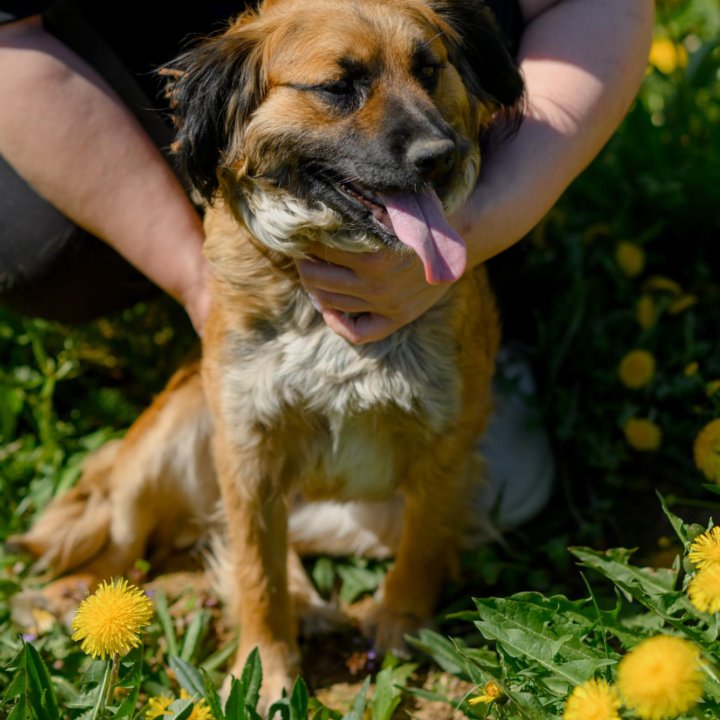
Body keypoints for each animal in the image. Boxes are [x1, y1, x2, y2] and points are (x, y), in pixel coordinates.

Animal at [8, 0, 524, 704]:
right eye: (339, 86)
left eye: (429, 69)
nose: (439, 156)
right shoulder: (247, 446)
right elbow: (257, 573)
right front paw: (268, 672)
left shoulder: (445, 446)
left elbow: (419, 551)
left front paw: (401, 626)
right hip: (171, 436)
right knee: (124, 535)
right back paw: (72, 599)